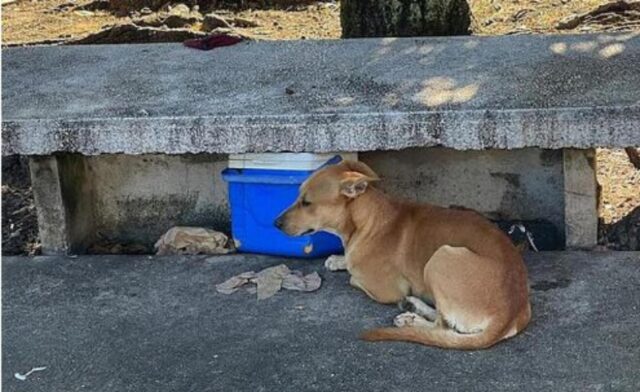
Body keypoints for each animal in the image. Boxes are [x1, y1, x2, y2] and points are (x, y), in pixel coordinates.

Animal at [276, 161, 528, 350]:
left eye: (306, 203)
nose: (275, 223)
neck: (369, 220)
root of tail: (509, 315)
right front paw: (339, 259)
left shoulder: (387, 289)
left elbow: (353, 276)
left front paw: (346, 263)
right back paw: (413, 306)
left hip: (441, 257)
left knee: (442, 326)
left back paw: (411, 319)